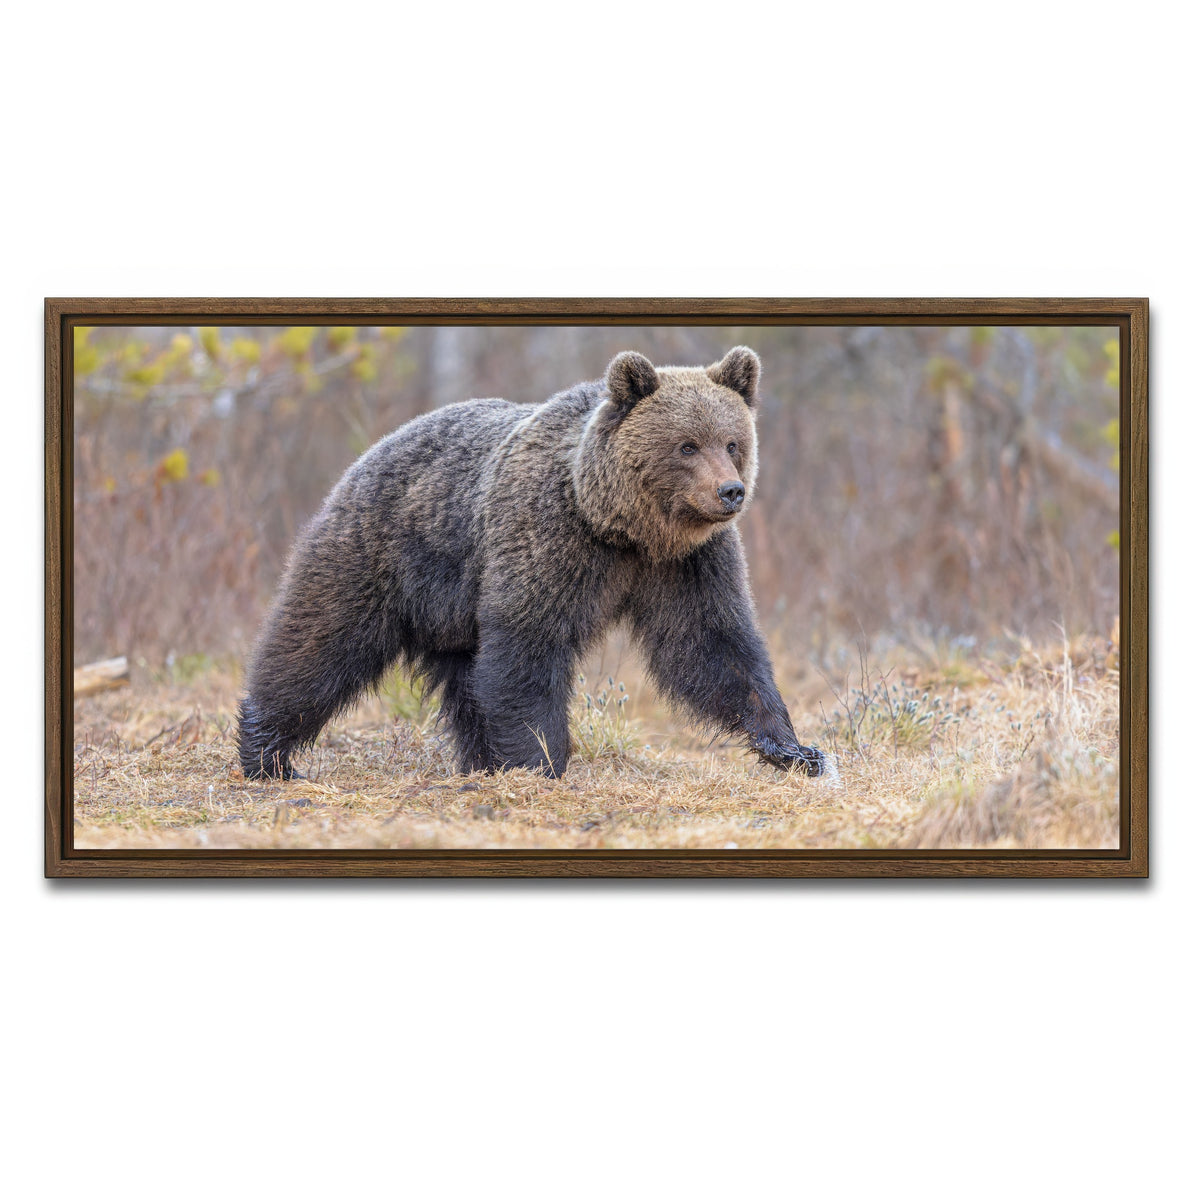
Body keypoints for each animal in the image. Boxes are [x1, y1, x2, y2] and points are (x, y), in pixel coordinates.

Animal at [237, 346, 825, 781]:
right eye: (686, 445)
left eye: (733, 441)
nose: (730, 491)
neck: (621, 526)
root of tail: (372, 450)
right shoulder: (549, 537)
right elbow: (529, 644)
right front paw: (542, 761)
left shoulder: (688, 562)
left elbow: (713, 644)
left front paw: (794, 748)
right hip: (381, 554)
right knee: (318, 643)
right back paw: (268, 753)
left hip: (453, 613)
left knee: (466, 681)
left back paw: (479, 763)